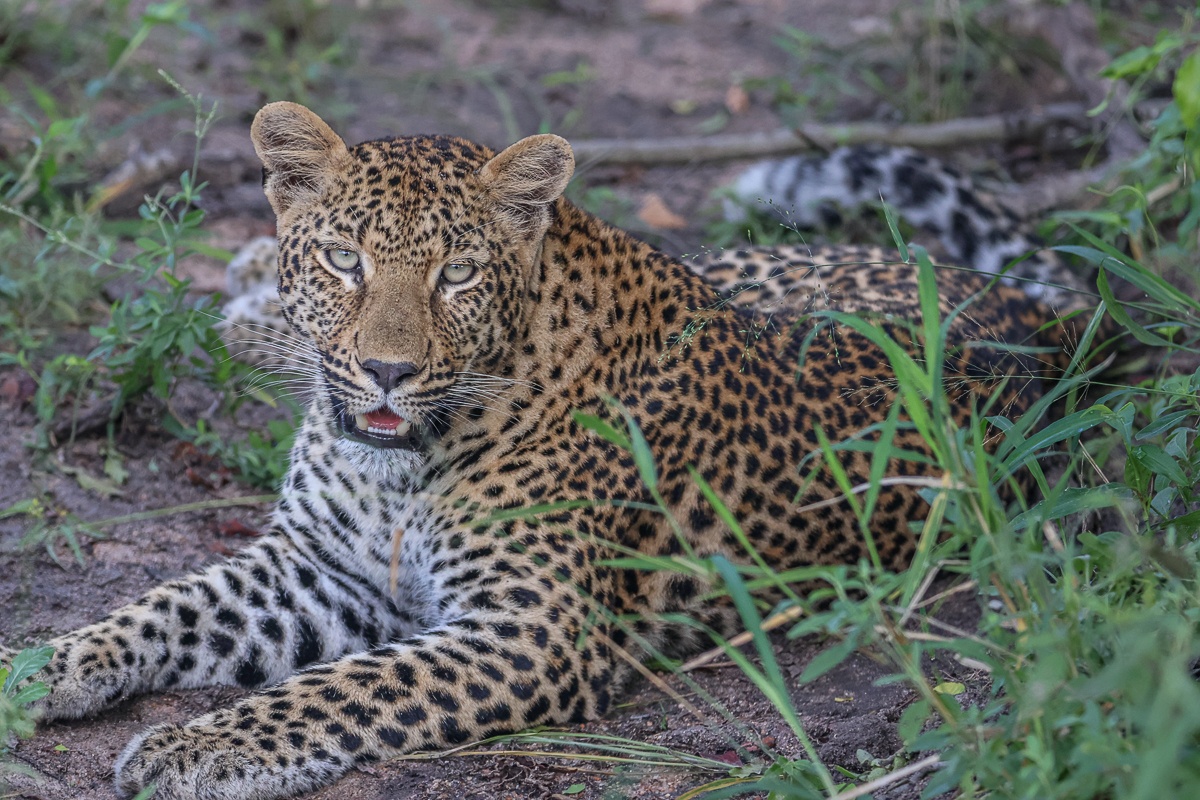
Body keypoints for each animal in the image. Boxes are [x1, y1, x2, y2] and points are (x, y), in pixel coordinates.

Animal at [8, 102, 1089, 800]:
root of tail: (1033, 314)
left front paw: (198, 746)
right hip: (743, 266)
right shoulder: (317, 567)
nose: (386, 370)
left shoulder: (531, 630)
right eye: (345, 260)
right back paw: (241, 289)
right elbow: (162, 605)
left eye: (457, 275)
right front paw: (38, 669)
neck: (401, 465)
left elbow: (340, 687)